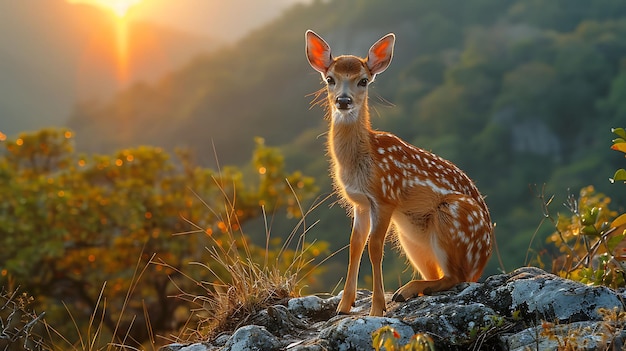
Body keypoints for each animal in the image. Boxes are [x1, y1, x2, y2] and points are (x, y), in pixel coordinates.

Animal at [304, 29, 492, 316]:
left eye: (363, 81)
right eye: (330, 79)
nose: (343, 101)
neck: (363, 160)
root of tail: (482, 260)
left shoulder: (385, 197)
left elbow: (375, 248)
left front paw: (376, 308)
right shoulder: (360, 202)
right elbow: (355, 245)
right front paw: (344, 306)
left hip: (452, 215)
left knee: (456, 277)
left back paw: (407, 290)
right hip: (409, 233)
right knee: (441, 273)